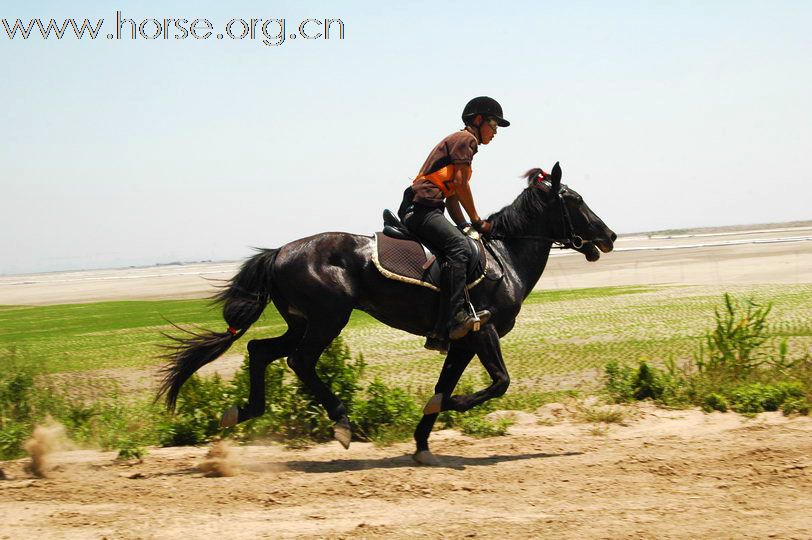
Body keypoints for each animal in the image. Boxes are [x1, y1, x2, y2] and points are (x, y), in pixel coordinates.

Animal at [159, 163, 616, 464]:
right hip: (328, 319)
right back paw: (341, 423)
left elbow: (444, 384)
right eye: (575, 200)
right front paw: (450, 406)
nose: (609, 236)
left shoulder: (461, 340)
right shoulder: (480, 330)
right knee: (300, 362)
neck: (505, 259)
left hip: (302, 322)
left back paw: (243, 411)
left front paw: (423, 444)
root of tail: (280, 252)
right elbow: (496, 383)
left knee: (260, 350)